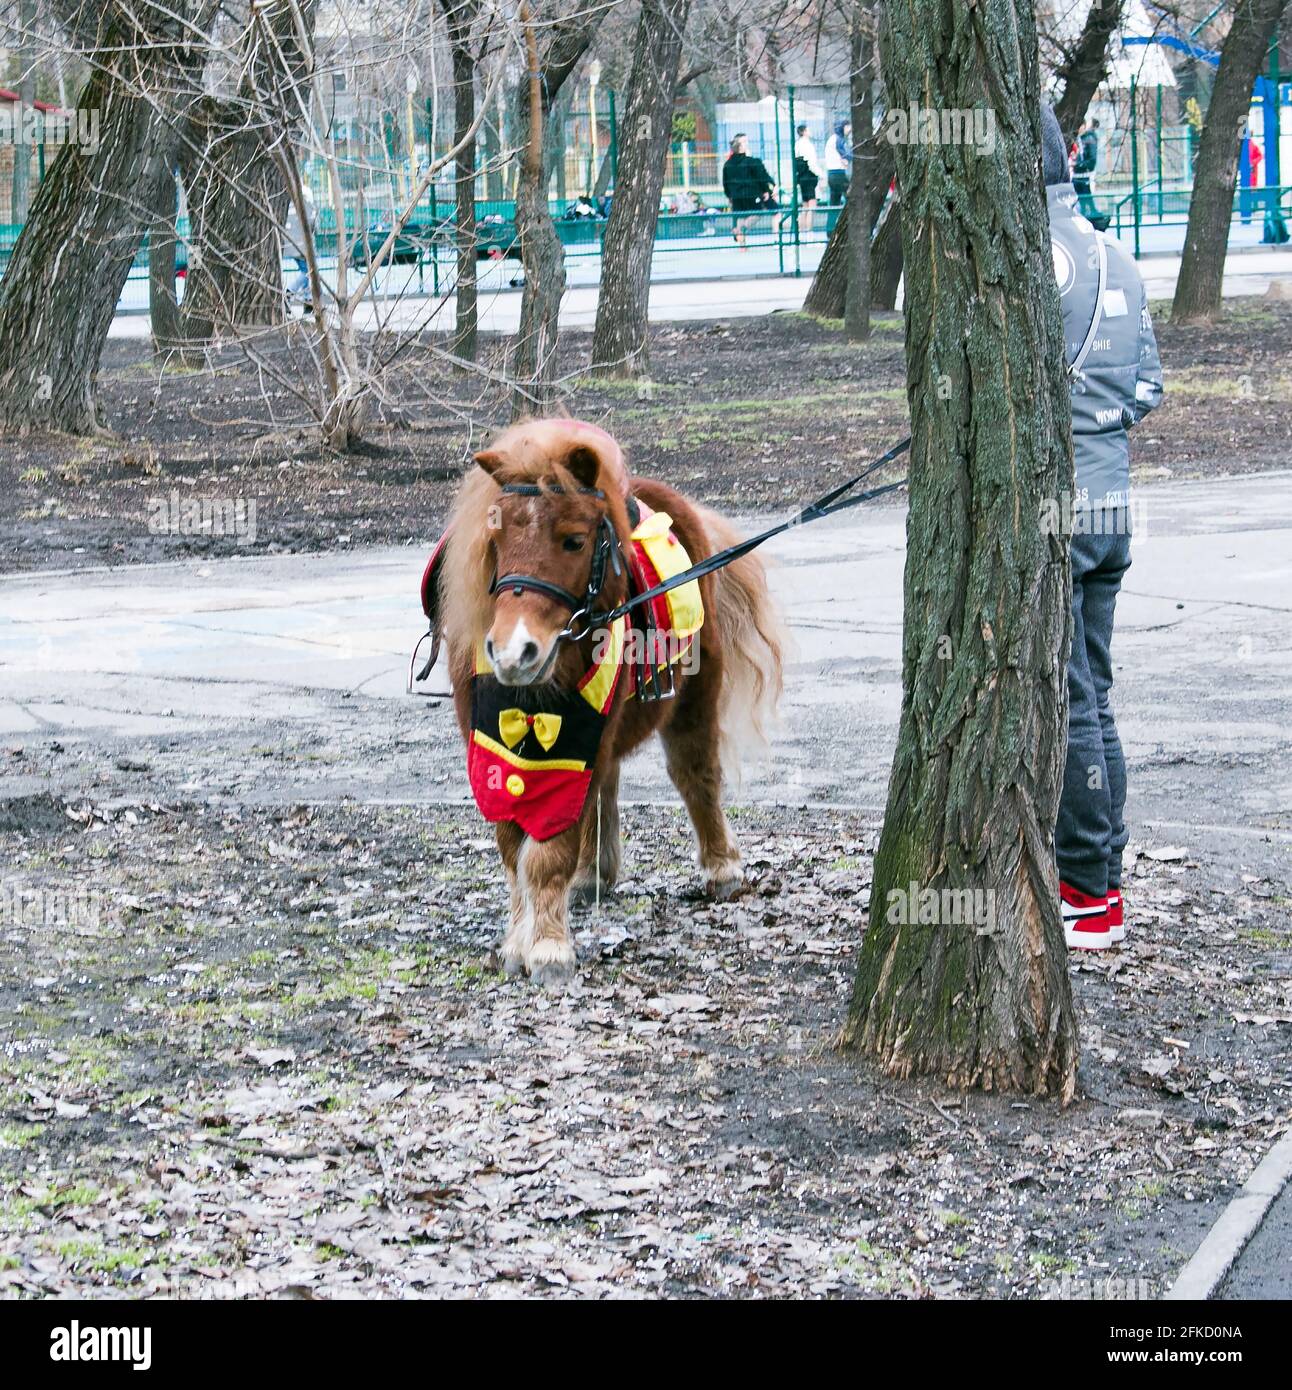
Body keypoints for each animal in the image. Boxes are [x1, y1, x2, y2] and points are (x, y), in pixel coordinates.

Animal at [442, 417, 784, 984]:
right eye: (496, 538)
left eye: (574, 541)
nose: (514, 651)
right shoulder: (492, 750)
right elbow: (514, 851)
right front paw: (518, 940)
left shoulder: (576, 743)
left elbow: (546, 856)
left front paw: (550, 949)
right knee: (604, 786)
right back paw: (593, 873)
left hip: (695, 692)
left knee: (695, 774)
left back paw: (721, 867)